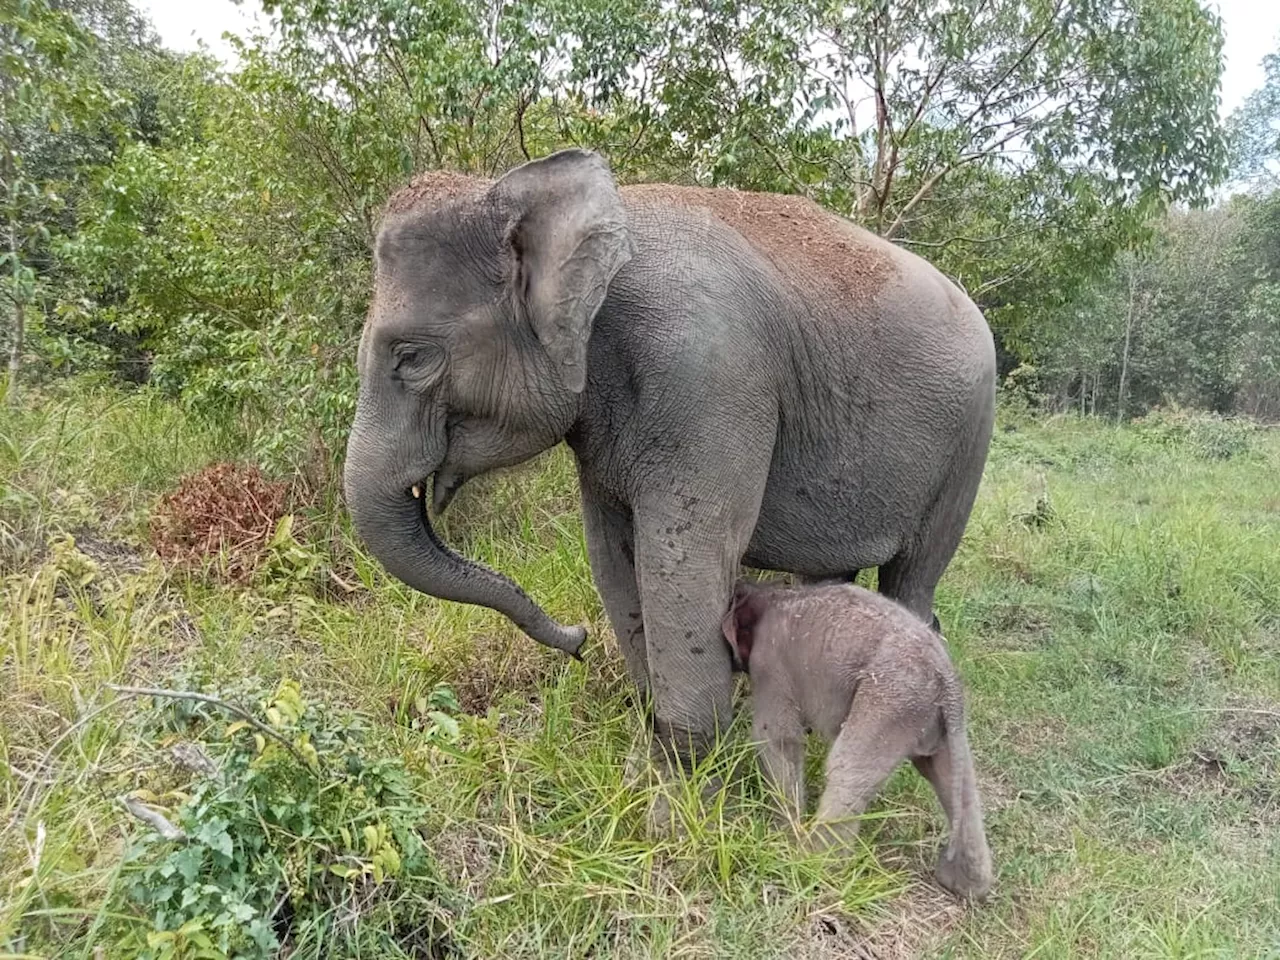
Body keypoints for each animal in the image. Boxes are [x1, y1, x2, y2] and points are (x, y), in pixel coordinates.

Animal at [343, 150, 998, 793]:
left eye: (411, 358)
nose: (577, 641)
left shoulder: (711, 377)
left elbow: (683, 562)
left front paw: (679, 784)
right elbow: (612, 553)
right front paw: (651, 739)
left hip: (970, 440)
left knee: (913, 578)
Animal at [727, 578, 993, 901]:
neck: (771, 594)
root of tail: (949, 686)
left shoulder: (769, 664)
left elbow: (775, 737)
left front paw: (782, 835)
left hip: (889, 704)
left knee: (847, 771)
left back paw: (813, 864)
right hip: (931, 723)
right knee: (954, 782)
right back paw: (962, 884)